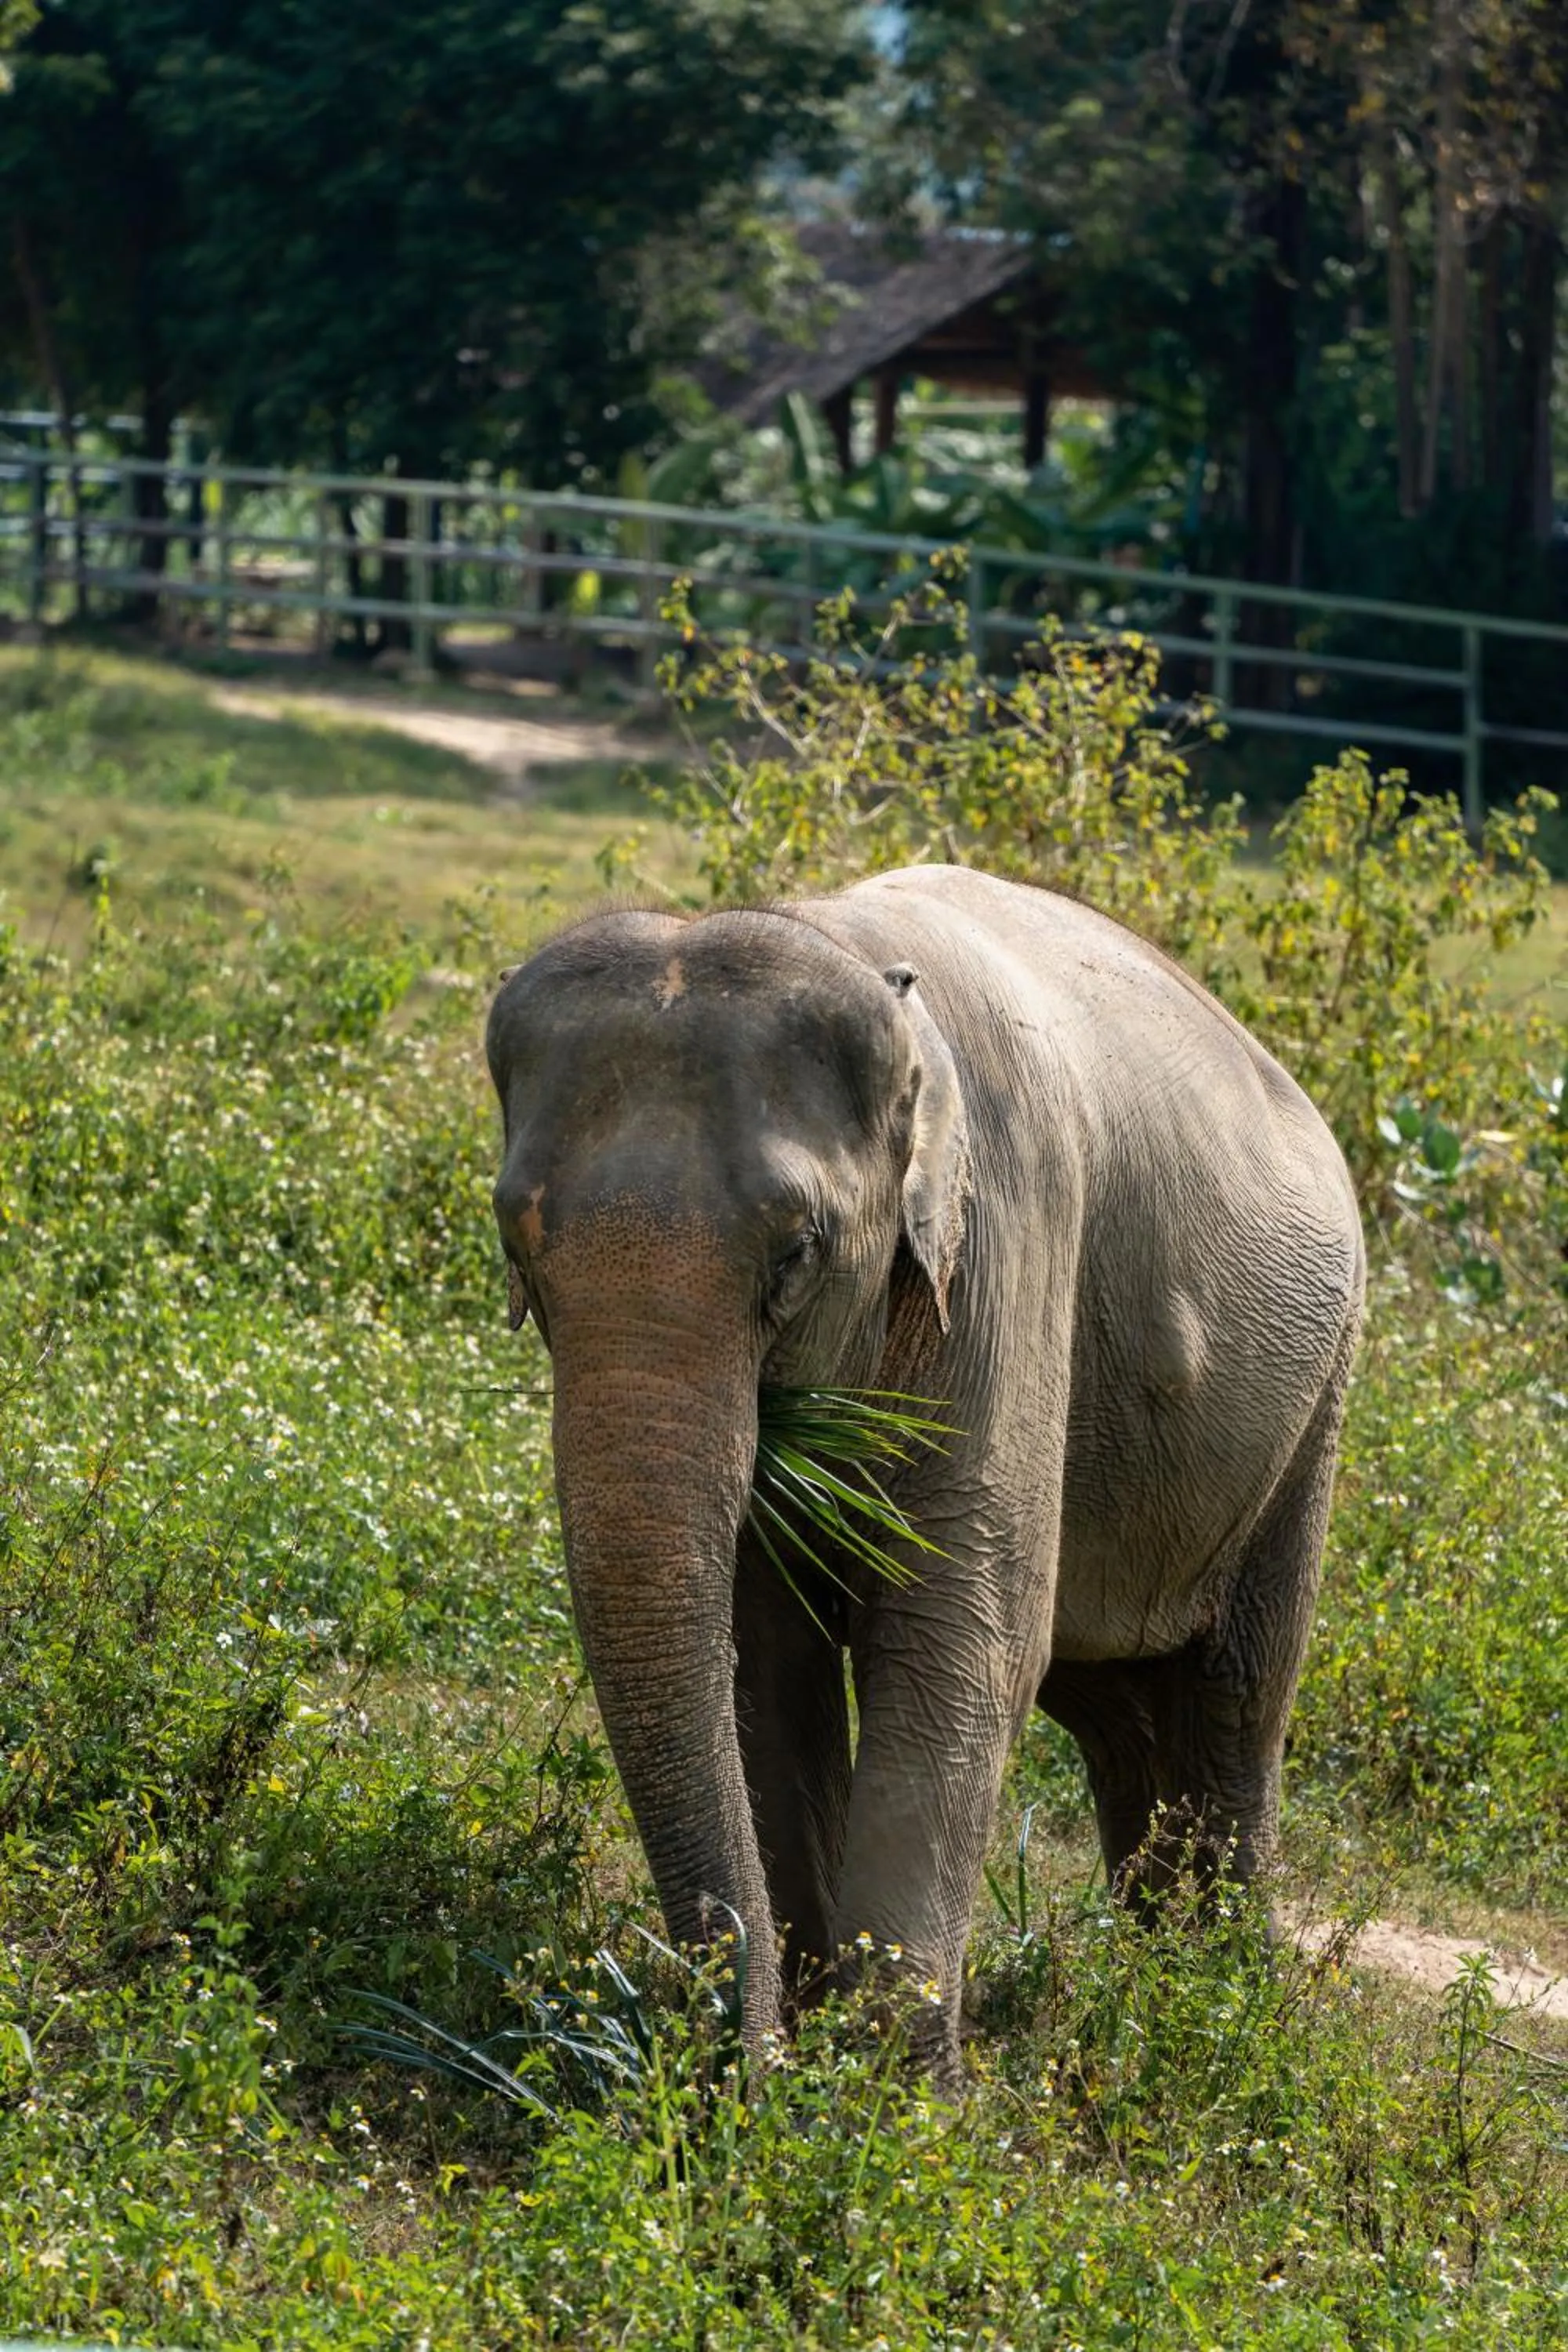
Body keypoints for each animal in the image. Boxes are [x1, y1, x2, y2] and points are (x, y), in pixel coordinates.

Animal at [486, 863, 1364, 2085]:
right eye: (516, 1249)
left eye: (796, 1254)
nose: (734, 2073)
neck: (850, 952)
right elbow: (765, 1655)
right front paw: (819, 2052)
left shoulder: (1008, 1248)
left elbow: (964, 1634)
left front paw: (895, 2100)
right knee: (1121, 1708)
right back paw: (1161, 1992)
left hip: (1313, 1400)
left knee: (1236, 1694)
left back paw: (1219, 2014)